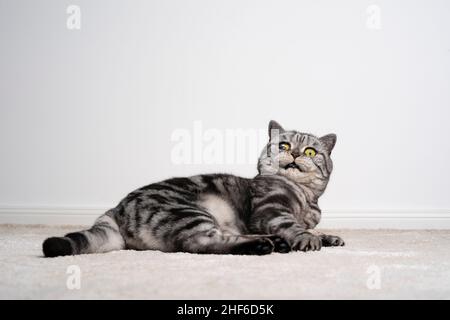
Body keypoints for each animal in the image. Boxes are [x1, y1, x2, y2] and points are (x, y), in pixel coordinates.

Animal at [42, 120, 344, 258]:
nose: (294, 153)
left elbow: (313, 228)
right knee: (201, 243)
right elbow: (295, 226)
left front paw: (329, 237)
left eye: (310, 151)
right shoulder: (271, 212)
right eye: (283, 145)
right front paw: (307, 239)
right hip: (189, 212)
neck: (306, 198)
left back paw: (275, 243)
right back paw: (263, 244)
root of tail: (116, 209)